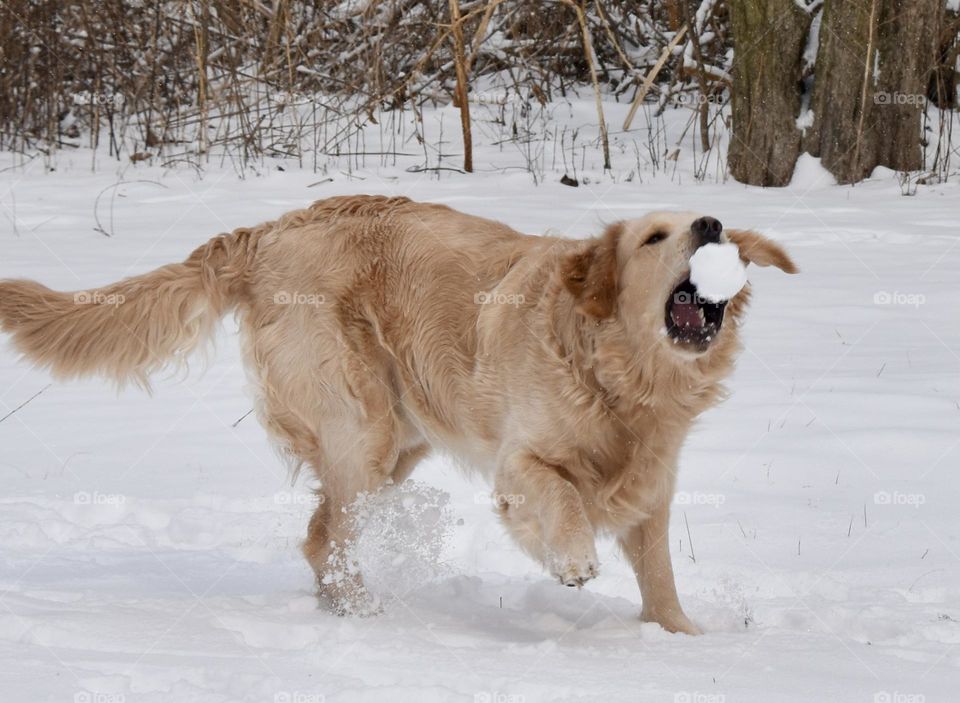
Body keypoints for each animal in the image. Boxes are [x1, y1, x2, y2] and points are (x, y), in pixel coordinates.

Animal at [0, 195, 796, 636]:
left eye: (716, 229)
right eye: (654, 237)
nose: (711, 222)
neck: (624, 376)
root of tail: (268, 229)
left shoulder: (651, 484)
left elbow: (658, 572)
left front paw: (681, 635)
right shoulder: (519, 463)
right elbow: (561, 494)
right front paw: (570, 559)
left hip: (398, 440)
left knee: (320, 537)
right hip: (362, 425)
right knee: (332, 537)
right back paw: (362, 617)